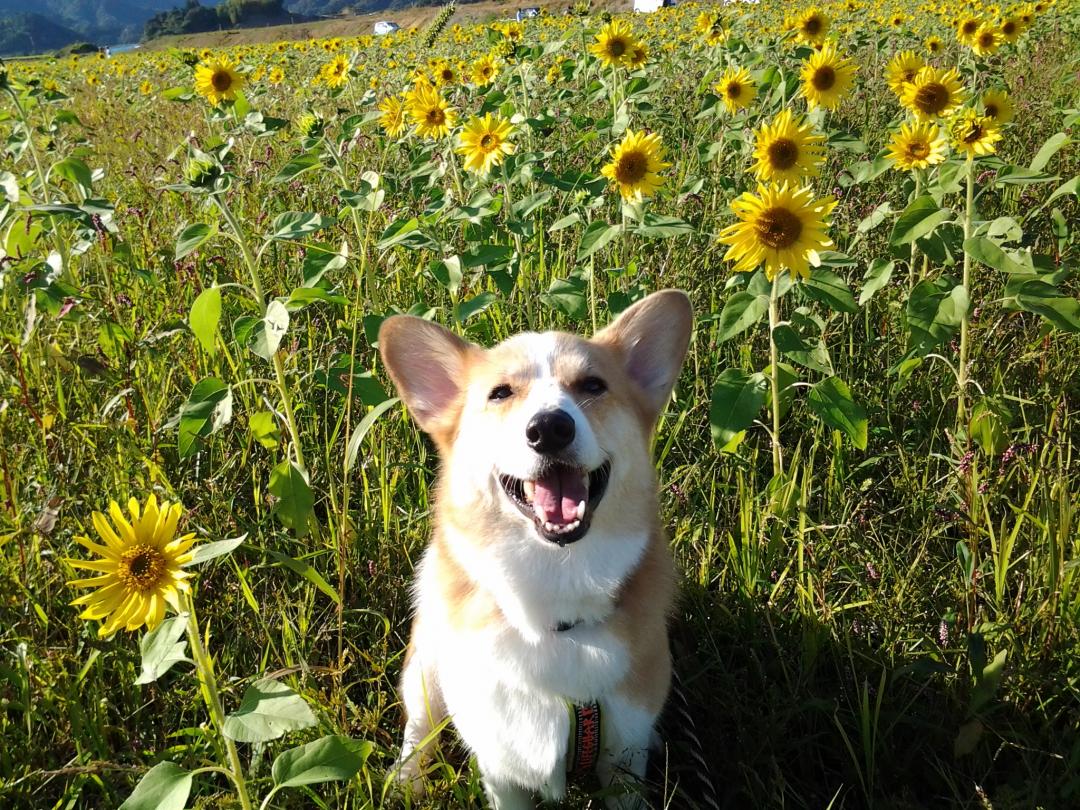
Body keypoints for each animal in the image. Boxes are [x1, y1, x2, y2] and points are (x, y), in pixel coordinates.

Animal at [380, 289, 695, 807]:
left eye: (593, 385)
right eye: (500, 393)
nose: (549, 428)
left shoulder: (622, 759)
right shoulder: (500, 766)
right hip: (424, 667)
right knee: (419, 727)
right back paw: (408, 779)